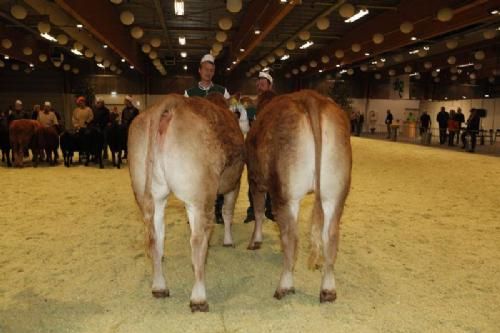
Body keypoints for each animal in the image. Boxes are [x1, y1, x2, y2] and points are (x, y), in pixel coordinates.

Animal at [128, 92, 245, 312]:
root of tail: (170, 102)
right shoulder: (235, 182)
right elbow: (227, 212)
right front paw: (228, 241)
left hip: (151, 192)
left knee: (155, 236)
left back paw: (159, 286)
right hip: (200, 195)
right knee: (197, 241)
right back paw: (199, 298)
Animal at [246, 89, 352, 302]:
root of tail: (311, 97)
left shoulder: (255, 180)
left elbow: (259, 212)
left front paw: (255, 241)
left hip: (286, 194)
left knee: (291, 238)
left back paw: (284, 285)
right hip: (335, 193)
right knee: (330, 236)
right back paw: (328, 290)